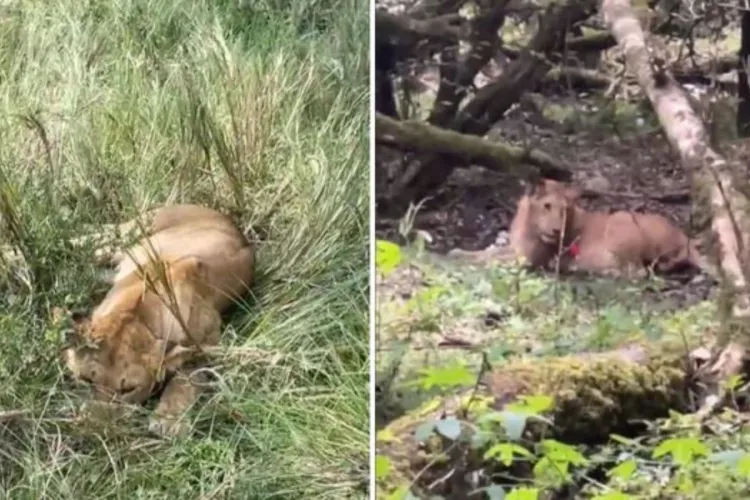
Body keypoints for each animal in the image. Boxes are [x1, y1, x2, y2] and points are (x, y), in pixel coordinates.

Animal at [62, 204, 254, 437]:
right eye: (86, 380)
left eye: (128, 389)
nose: (94, 426)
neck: (136, 315)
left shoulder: (207, 345)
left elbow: (186, 379)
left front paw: (169, 420)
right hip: (120, 238)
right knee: (82, 238)